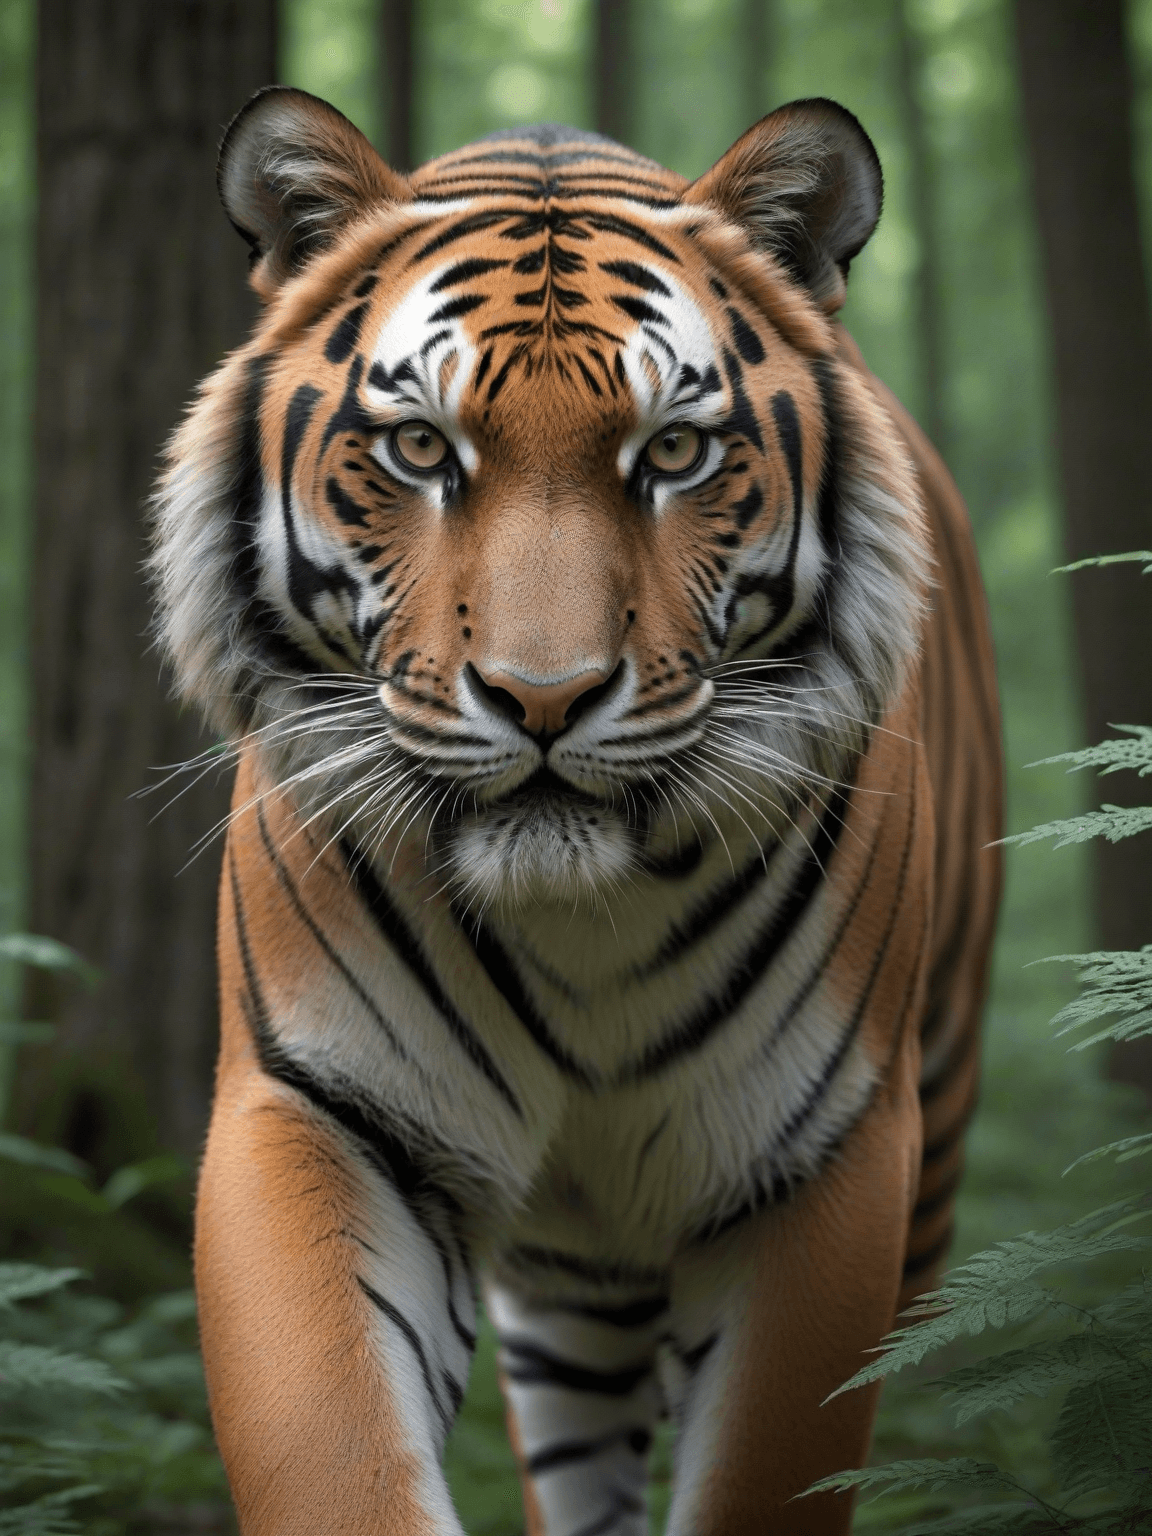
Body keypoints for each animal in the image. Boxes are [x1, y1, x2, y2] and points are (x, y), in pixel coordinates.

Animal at [151, 86, 1002, 1536]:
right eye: (420, 447)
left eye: (675, 452)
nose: (542, 699)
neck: (581, 919)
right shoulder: (321, 1110)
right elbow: (333, 1446)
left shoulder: (823, 1158)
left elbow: (770, 1469)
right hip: (569, 1279)